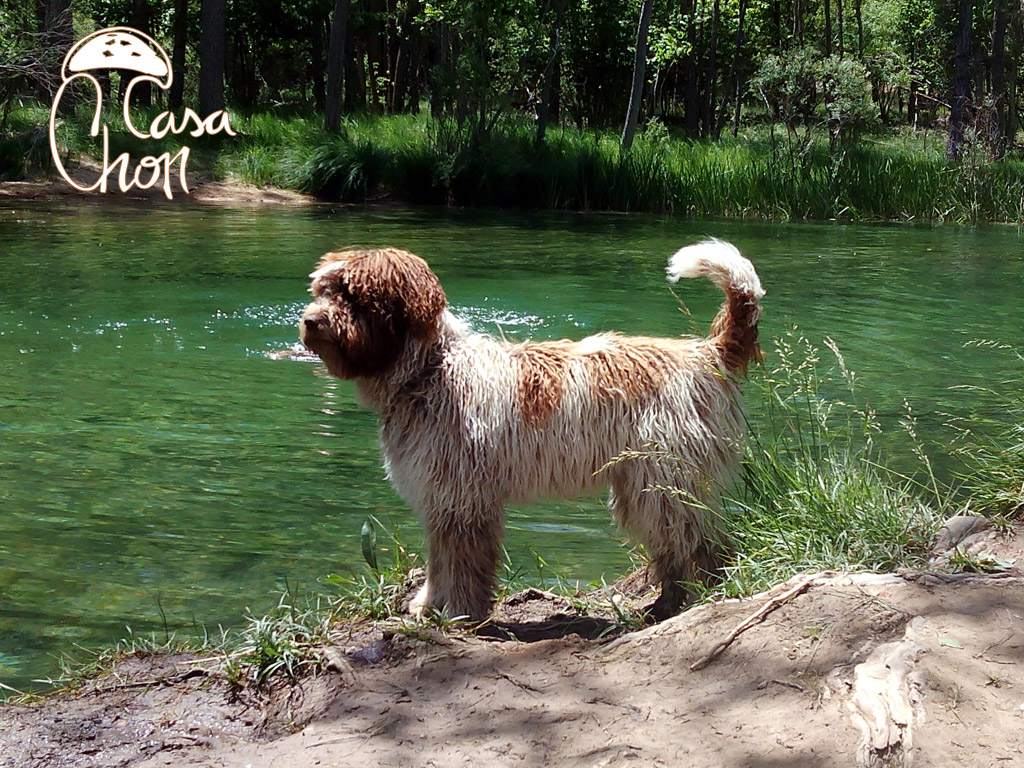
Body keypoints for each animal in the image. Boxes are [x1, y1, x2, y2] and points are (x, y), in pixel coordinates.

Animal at [299, 243, 765, 622]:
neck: (430, 368)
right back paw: (665, 605)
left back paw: (701, 598)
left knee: (703, 544)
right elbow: (439, 560)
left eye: (352, 295)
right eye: (322, 290)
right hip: (645, 485)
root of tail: (705, 354)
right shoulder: (441, 497)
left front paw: (461, 614)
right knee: (676, 547)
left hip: (666, 478)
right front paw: (429, 605)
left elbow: (462, 563)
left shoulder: (464, 498)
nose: (309, 321)